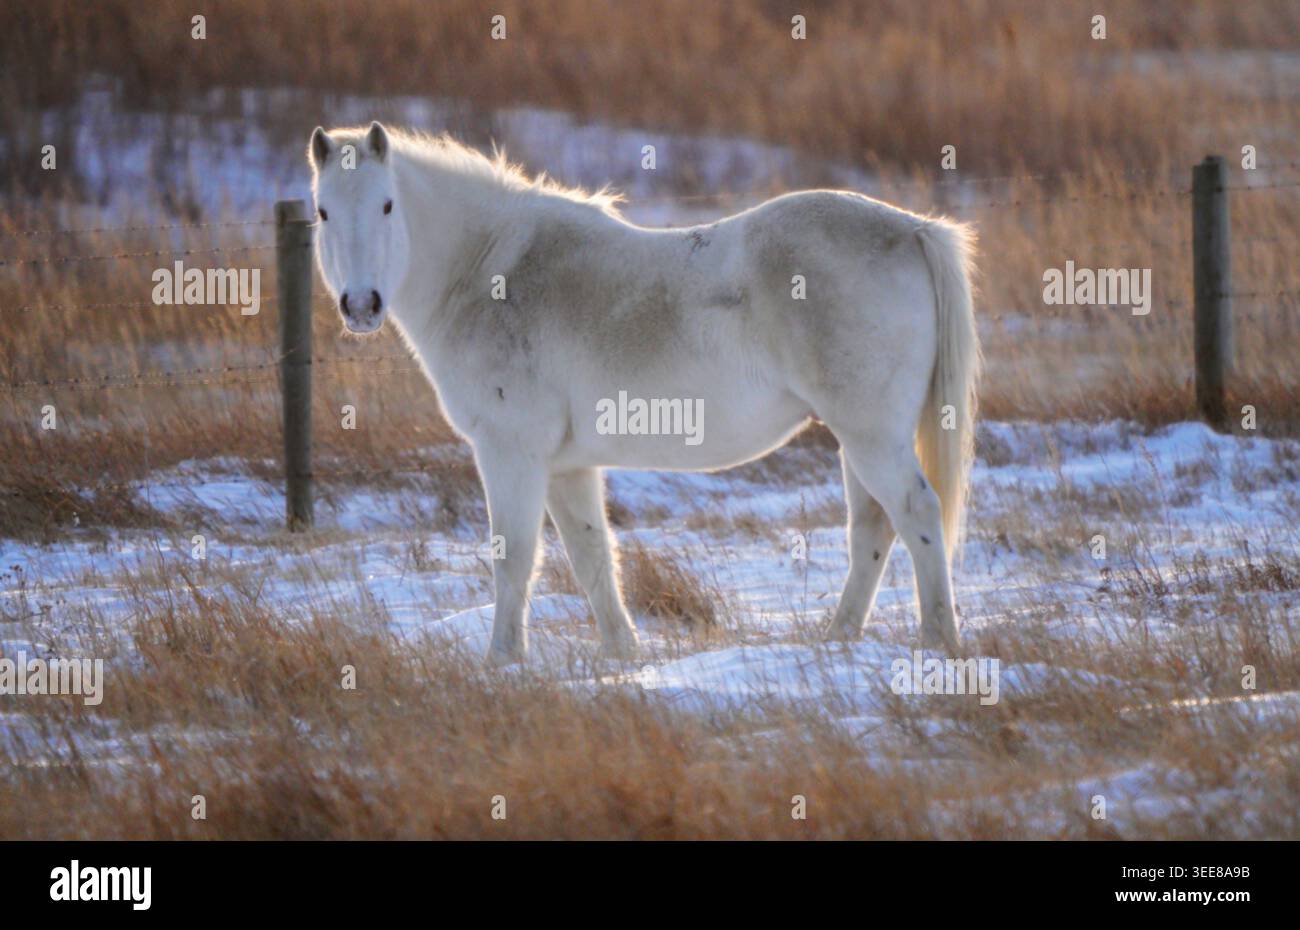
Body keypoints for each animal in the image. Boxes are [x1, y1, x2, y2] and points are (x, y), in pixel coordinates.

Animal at [308, 122, 979, 665]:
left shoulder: (510, 453)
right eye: (321, 212)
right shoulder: (566, 466)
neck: (490, 274)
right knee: (872, 528)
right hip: (857, 439)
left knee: (915, 514)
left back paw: (937, 641)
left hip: (871, 436)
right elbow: (591, 555)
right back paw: (839, 638)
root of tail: (913, 230)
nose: (361, 305)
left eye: (387, 204)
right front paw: (622, 654)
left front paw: (502, 660)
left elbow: (514, 556)